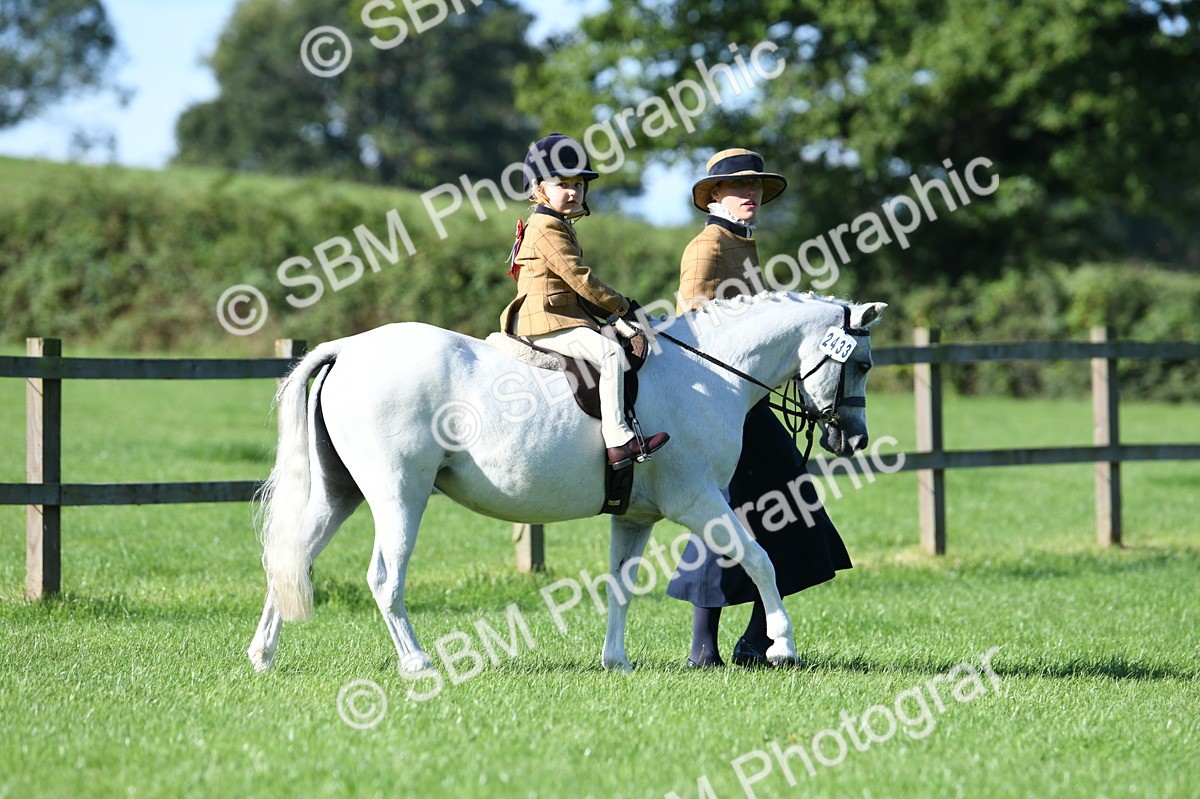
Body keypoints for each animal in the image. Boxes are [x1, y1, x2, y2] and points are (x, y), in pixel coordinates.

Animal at [248, 291, 886, 674]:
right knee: (384, 578)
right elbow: (760, 561)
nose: (853, 439)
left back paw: (262, 655)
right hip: (398, 496)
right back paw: (419, 662)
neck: (706, 373)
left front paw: (615, 661)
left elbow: (621, 585)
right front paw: (783, 644)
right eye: (861, 364)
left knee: (293, 559)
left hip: (340, 494)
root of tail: (348, 350)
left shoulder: (634, 517)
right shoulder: (701, 502)